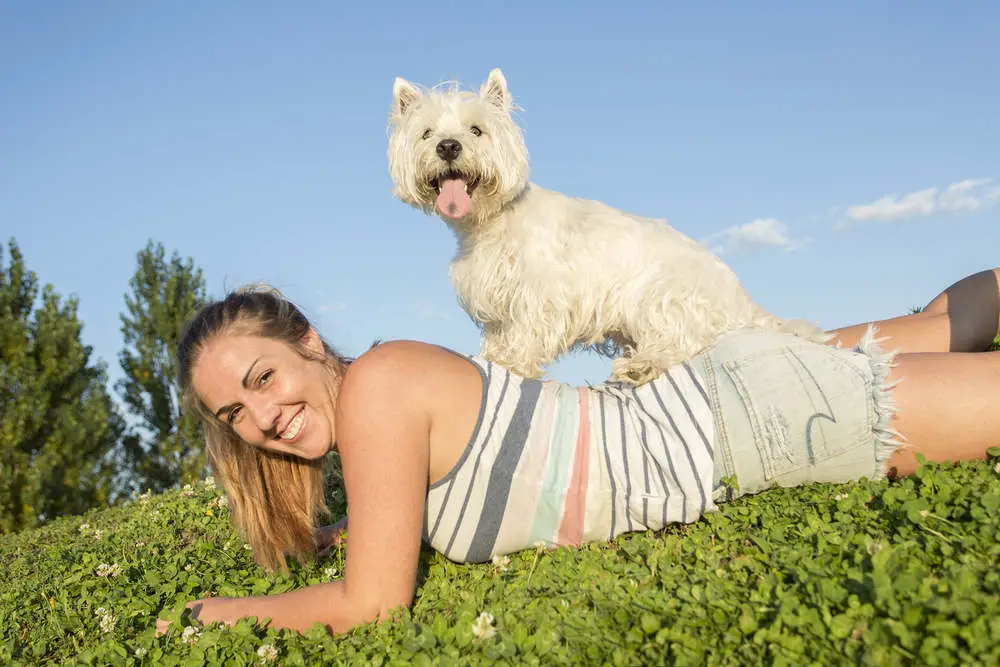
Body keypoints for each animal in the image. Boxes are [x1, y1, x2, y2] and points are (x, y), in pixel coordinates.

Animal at [386, 68, 824, 384]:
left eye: (476, 130)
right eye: (427, 133)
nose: (448, 146)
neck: (490, 221)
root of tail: (742, 298)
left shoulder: (540, 292)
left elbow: (528, 330)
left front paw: (513, 362)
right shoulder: (497, 302)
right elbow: (499, 333)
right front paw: (492, 356)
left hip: (661, 297)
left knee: (684, 342)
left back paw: (640, 366)